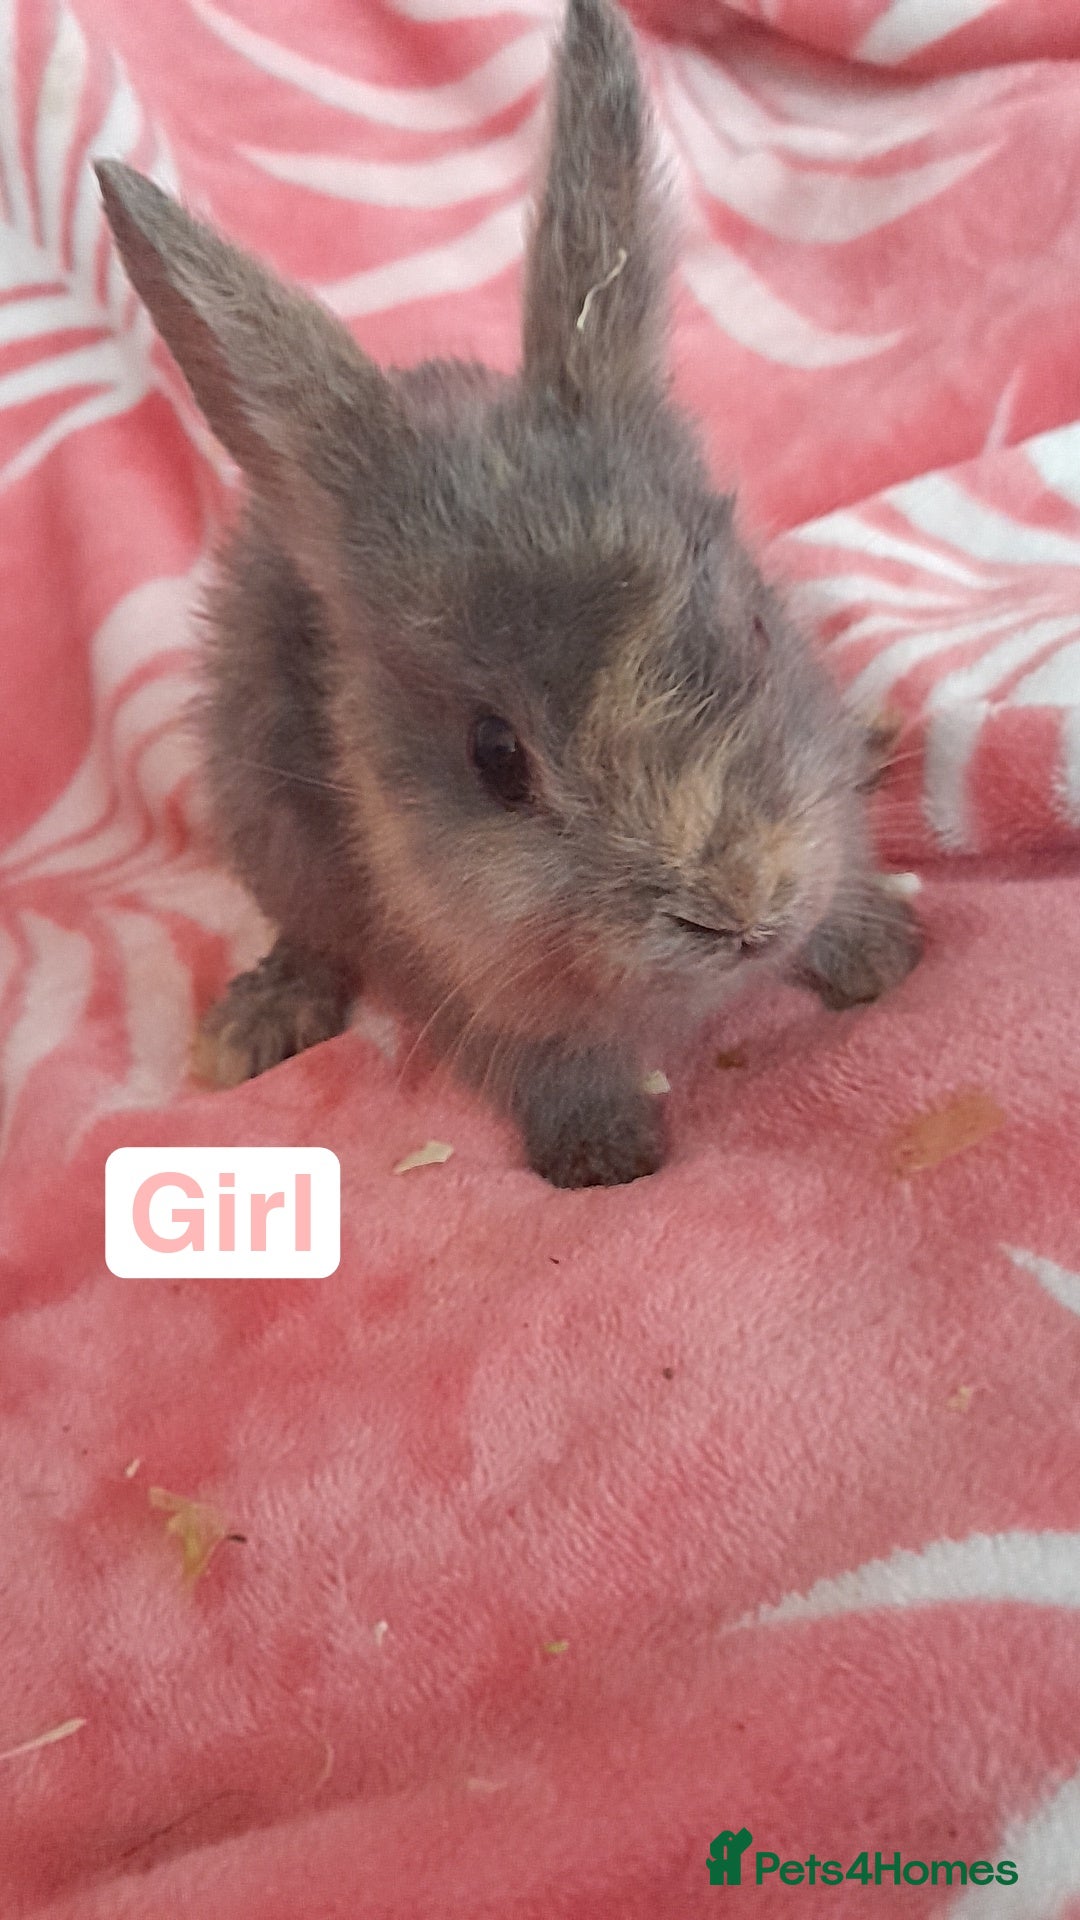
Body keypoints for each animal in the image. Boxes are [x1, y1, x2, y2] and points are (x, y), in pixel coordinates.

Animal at [94, 0, 920, 1189]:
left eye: (760, 634)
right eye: (496, 758)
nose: (742, 910)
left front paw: (877, 952)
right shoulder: (464, 973)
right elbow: (545, 1058)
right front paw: (604, 1154)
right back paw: (255, 1024)